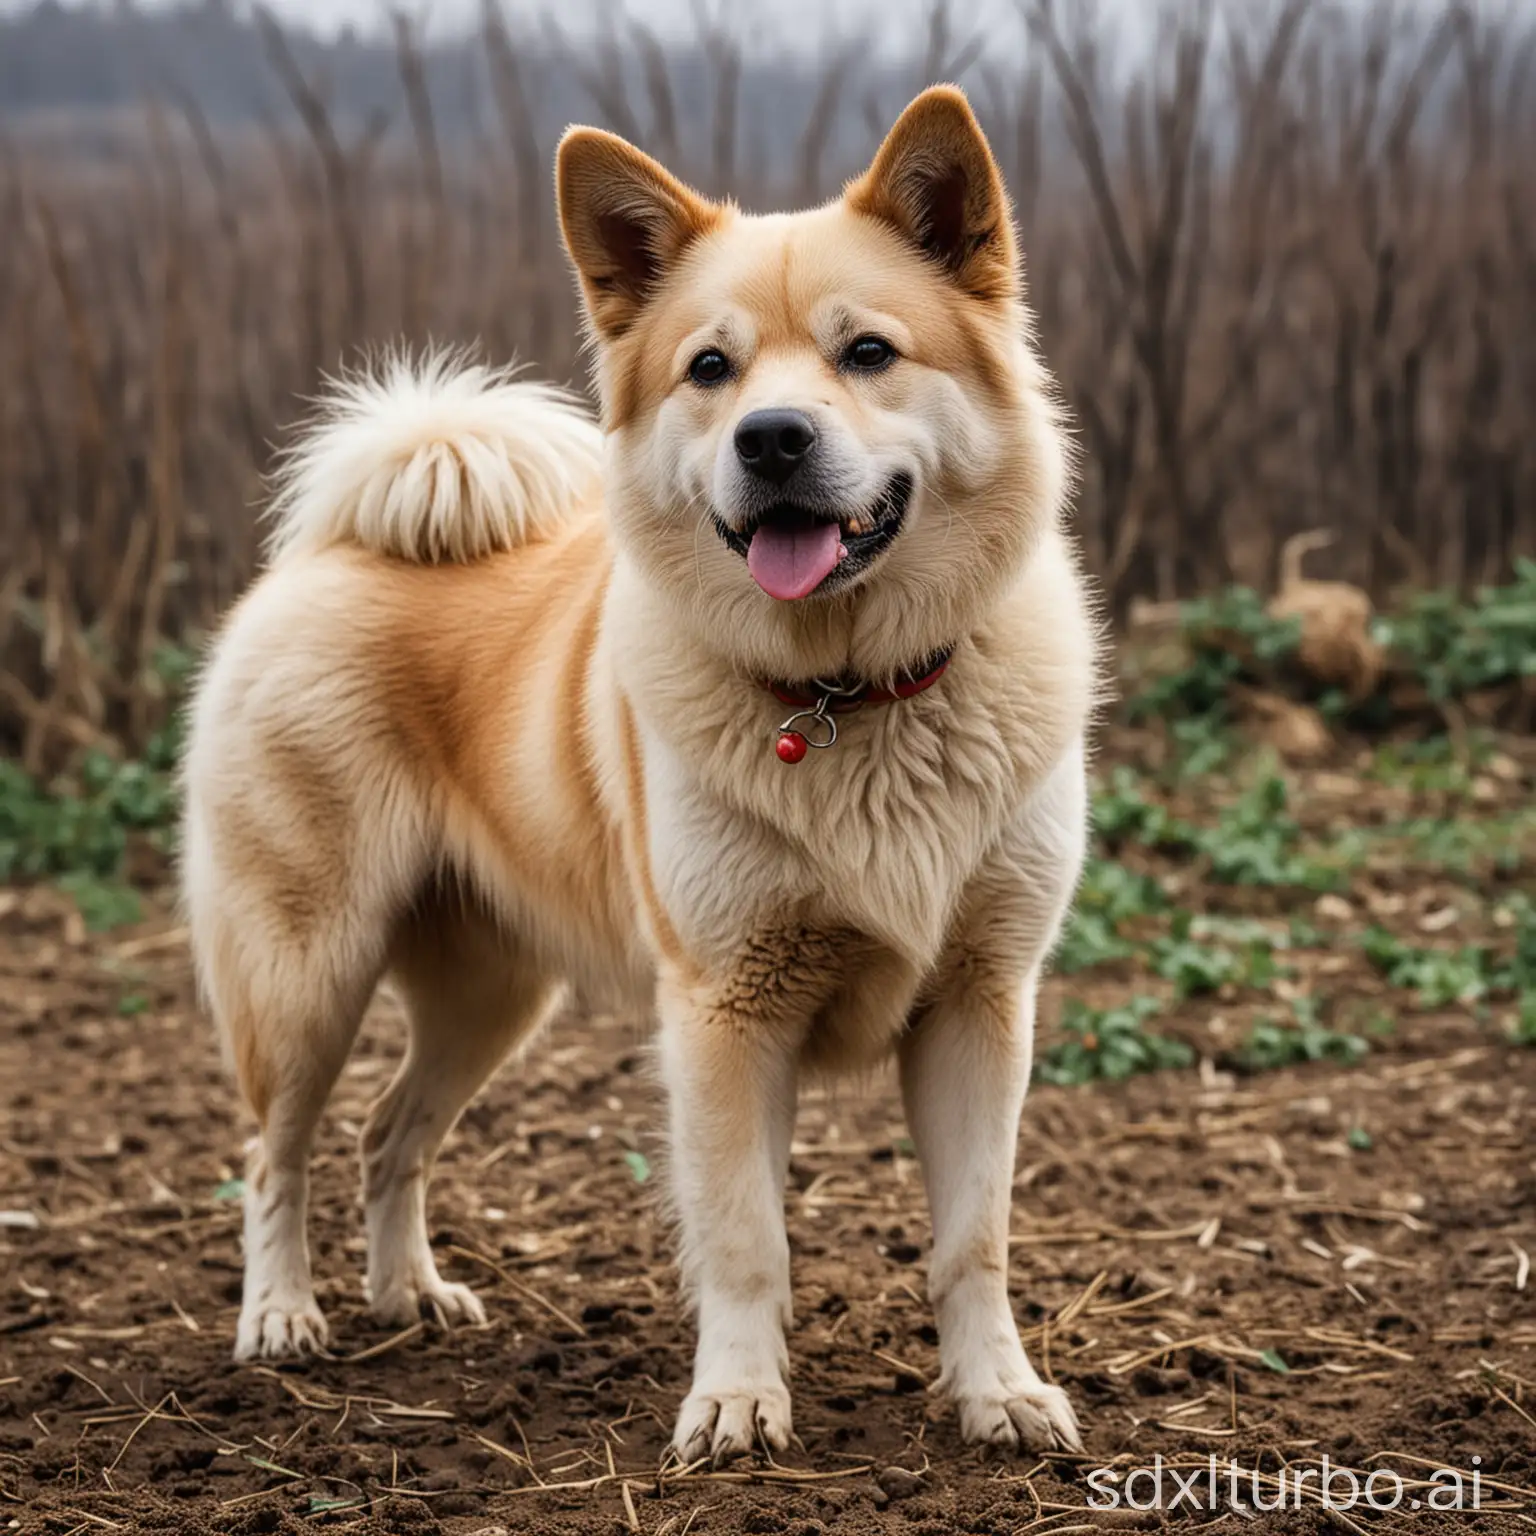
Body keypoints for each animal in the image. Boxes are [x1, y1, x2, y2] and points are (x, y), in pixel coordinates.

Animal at [185, 84, 1099, 1462]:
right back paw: (284, 1316)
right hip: (307, 980)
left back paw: (411, 1297)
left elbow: (972, 1239)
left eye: (868, 353)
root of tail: (339, 546)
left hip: (489, 996)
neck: (848, 697)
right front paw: (736, 1402)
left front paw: (998, 1393)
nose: (772, 439)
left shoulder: (982, 1006)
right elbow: (745, 1239)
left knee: (390, 1136)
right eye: (709, 370)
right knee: (273, 1155)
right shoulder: (723, 1015)